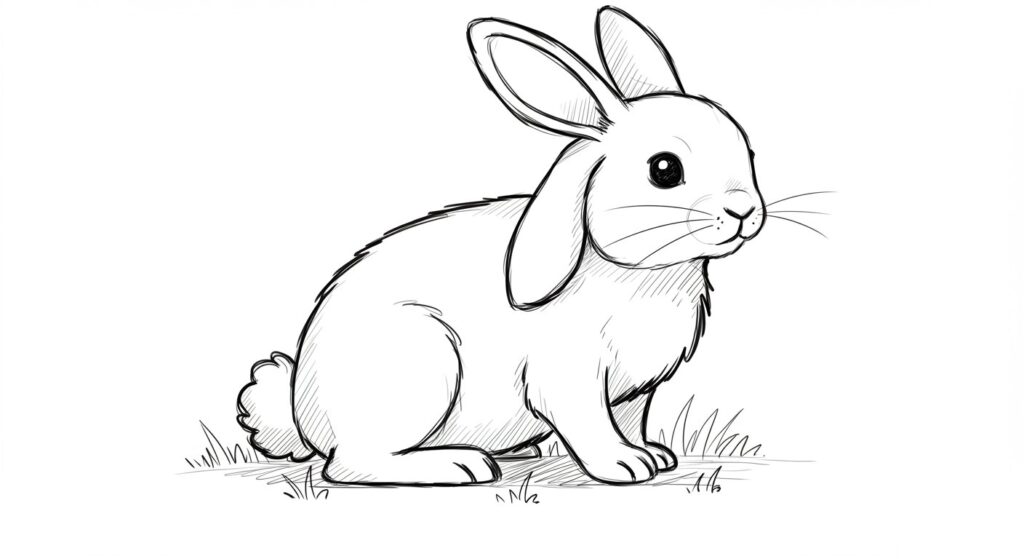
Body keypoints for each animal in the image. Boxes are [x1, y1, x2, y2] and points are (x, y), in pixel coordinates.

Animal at [238, 6, 765, 486]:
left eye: (750, 152)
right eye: (664, 169)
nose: (745, 212)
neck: (642, 275)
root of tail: (302, 411)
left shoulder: (635, 392)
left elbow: (631, 421)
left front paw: (653, 456)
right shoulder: (569, 377)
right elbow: (591, 426)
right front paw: (624, 466)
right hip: (419, 364)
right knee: (351, 465)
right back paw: (459, 466)